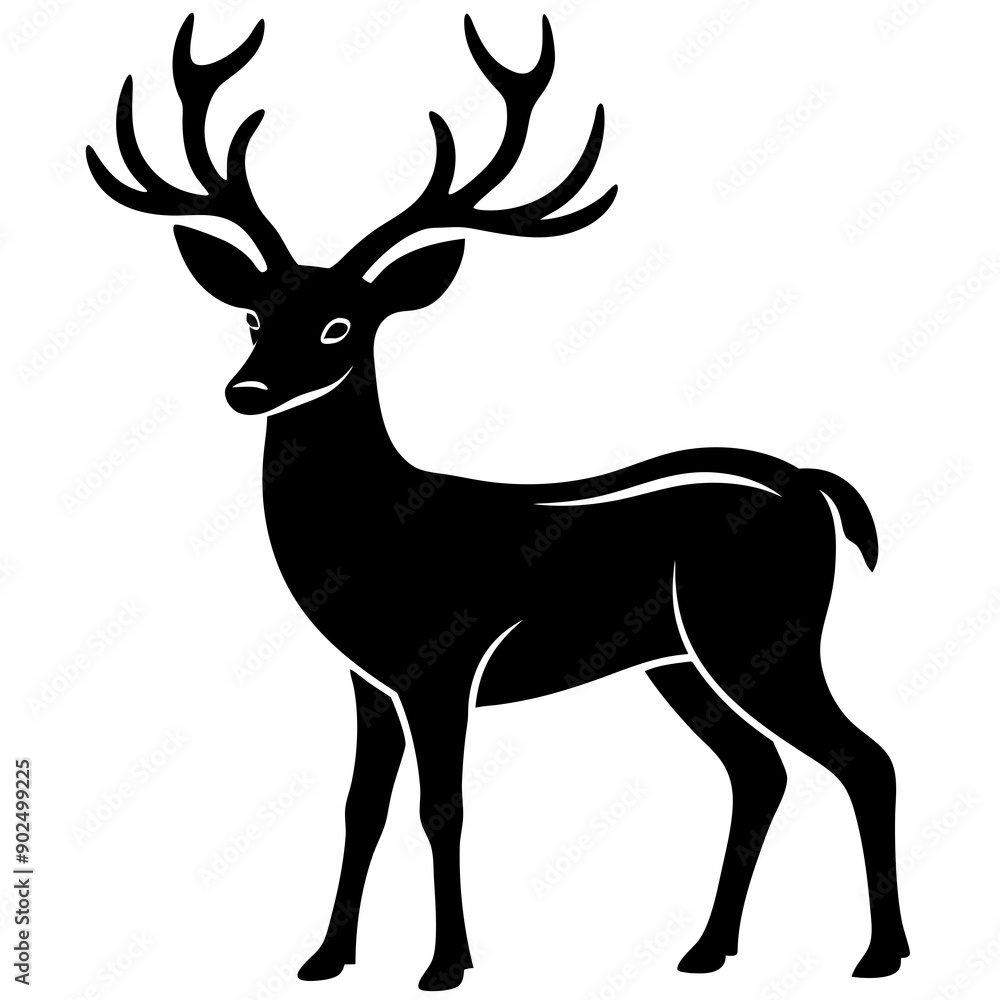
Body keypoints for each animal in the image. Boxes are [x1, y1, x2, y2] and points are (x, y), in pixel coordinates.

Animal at [87, 13, 909, 990]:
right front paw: (325, 959)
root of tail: (811, 485)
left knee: (865, 758)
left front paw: (446, 966)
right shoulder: (369, 678)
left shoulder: (447, 662)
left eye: (340, 325)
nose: (244, 391)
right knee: (761, 772)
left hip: (758, 630)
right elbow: (360, 807)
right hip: (680, 659)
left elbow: (441, 809)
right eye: (253, 316)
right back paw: (707, 950)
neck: (375, 534)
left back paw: (880, 956)